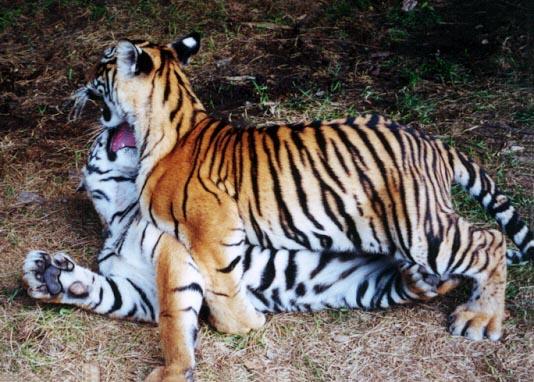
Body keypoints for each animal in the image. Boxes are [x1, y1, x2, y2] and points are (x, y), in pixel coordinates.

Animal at [22, 127, 456, 376]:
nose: (107, 125)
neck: (117, 219)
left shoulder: (172, 253)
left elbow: (172, 319)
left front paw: (175, 370)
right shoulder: (139, 292)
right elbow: (113, 296)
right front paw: (50, 276)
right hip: (362, 286)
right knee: (414, 281)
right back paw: (420, 277)